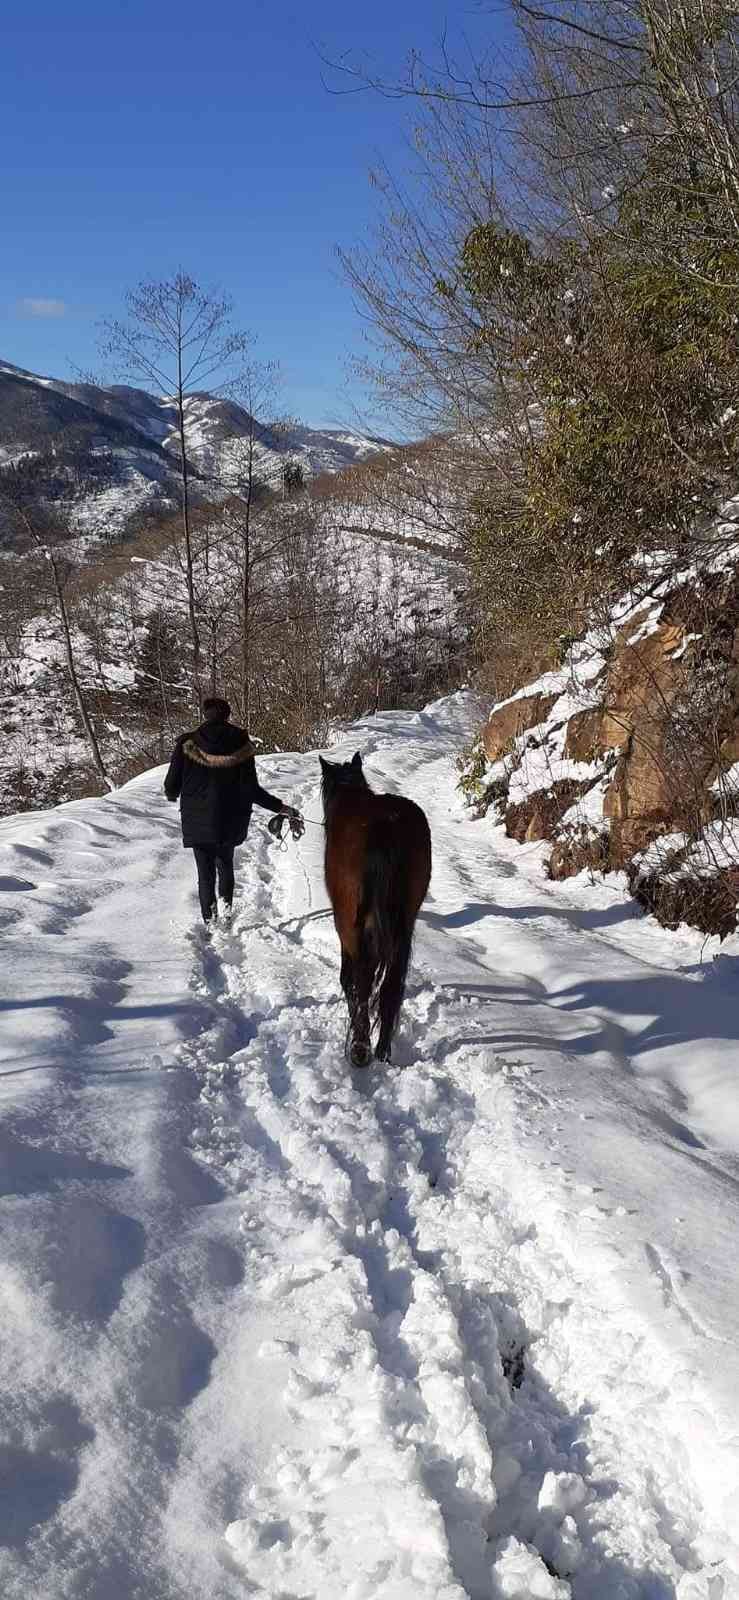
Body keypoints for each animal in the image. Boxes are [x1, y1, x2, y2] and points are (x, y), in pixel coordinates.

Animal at [318, 752, 431, 1075]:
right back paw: (381, 1051)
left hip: (351, 924)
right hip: (404, 925)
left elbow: (350, 980)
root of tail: (385, 825)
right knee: (391, 987)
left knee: (362, 979)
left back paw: (360, 1048)